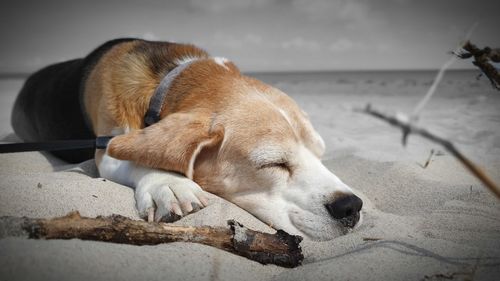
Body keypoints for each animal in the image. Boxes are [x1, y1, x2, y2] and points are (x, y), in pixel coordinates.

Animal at [11, 38, 364, 240]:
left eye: (320, 154)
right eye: (273, 164)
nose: (352, 206)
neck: (169, 78)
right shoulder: (106, 147)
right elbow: (134, 155)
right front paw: (167, 184)